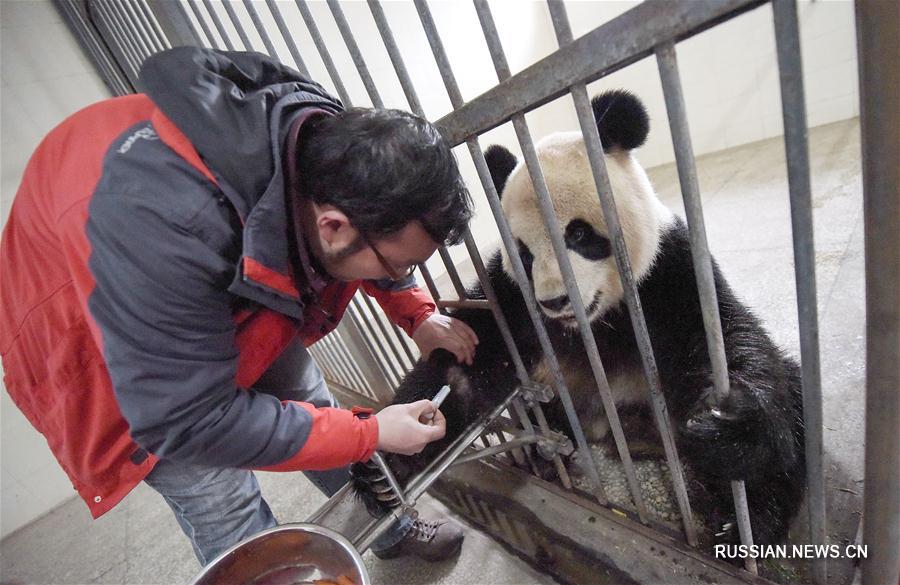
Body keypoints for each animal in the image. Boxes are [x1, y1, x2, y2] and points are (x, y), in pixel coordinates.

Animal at [350, 89, 800, 544]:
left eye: (579, 234)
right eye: (525, 253)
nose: (555, 301)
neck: (596, 322)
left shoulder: (668, 272)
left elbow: (721, 337)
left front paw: (730, 426)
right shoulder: (512, 297)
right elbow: (464, 365)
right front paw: (386, 462)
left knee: (791, 395)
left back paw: (744, 520)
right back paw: (543, 456)